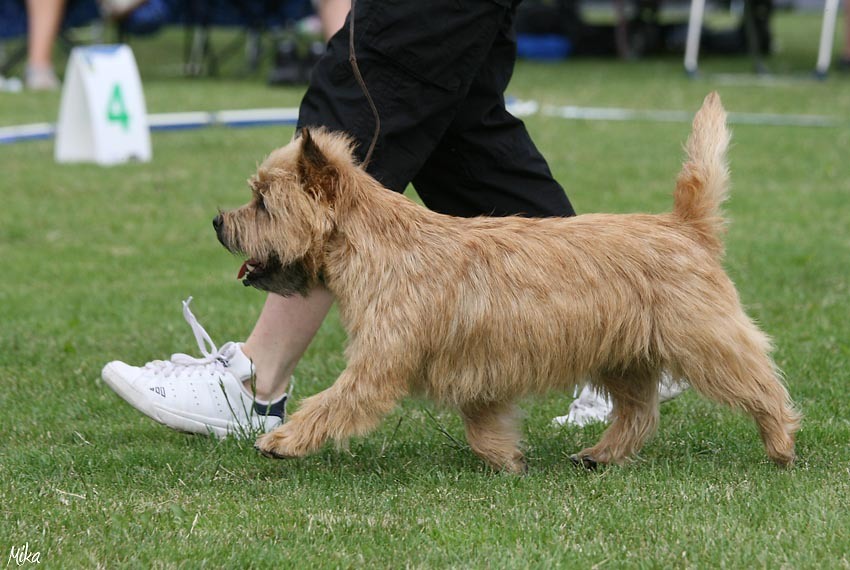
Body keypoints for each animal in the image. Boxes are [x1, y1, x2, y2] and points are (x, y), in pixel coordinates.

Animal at [215, 91, 800, 468]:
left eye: (262, 202)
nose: (219, 221)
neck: (380, 245)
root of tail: (685, 225)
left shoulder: (379, 364)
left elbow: (332, 402)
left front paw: (284, 439)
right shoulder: (475, 366)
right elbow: (482, 423)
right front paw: (507, 459)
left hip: (704, 340)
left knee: (760, 384)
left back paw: (780, 444)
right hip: (622, 356)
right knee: (639, 412)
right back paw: (600, 454)